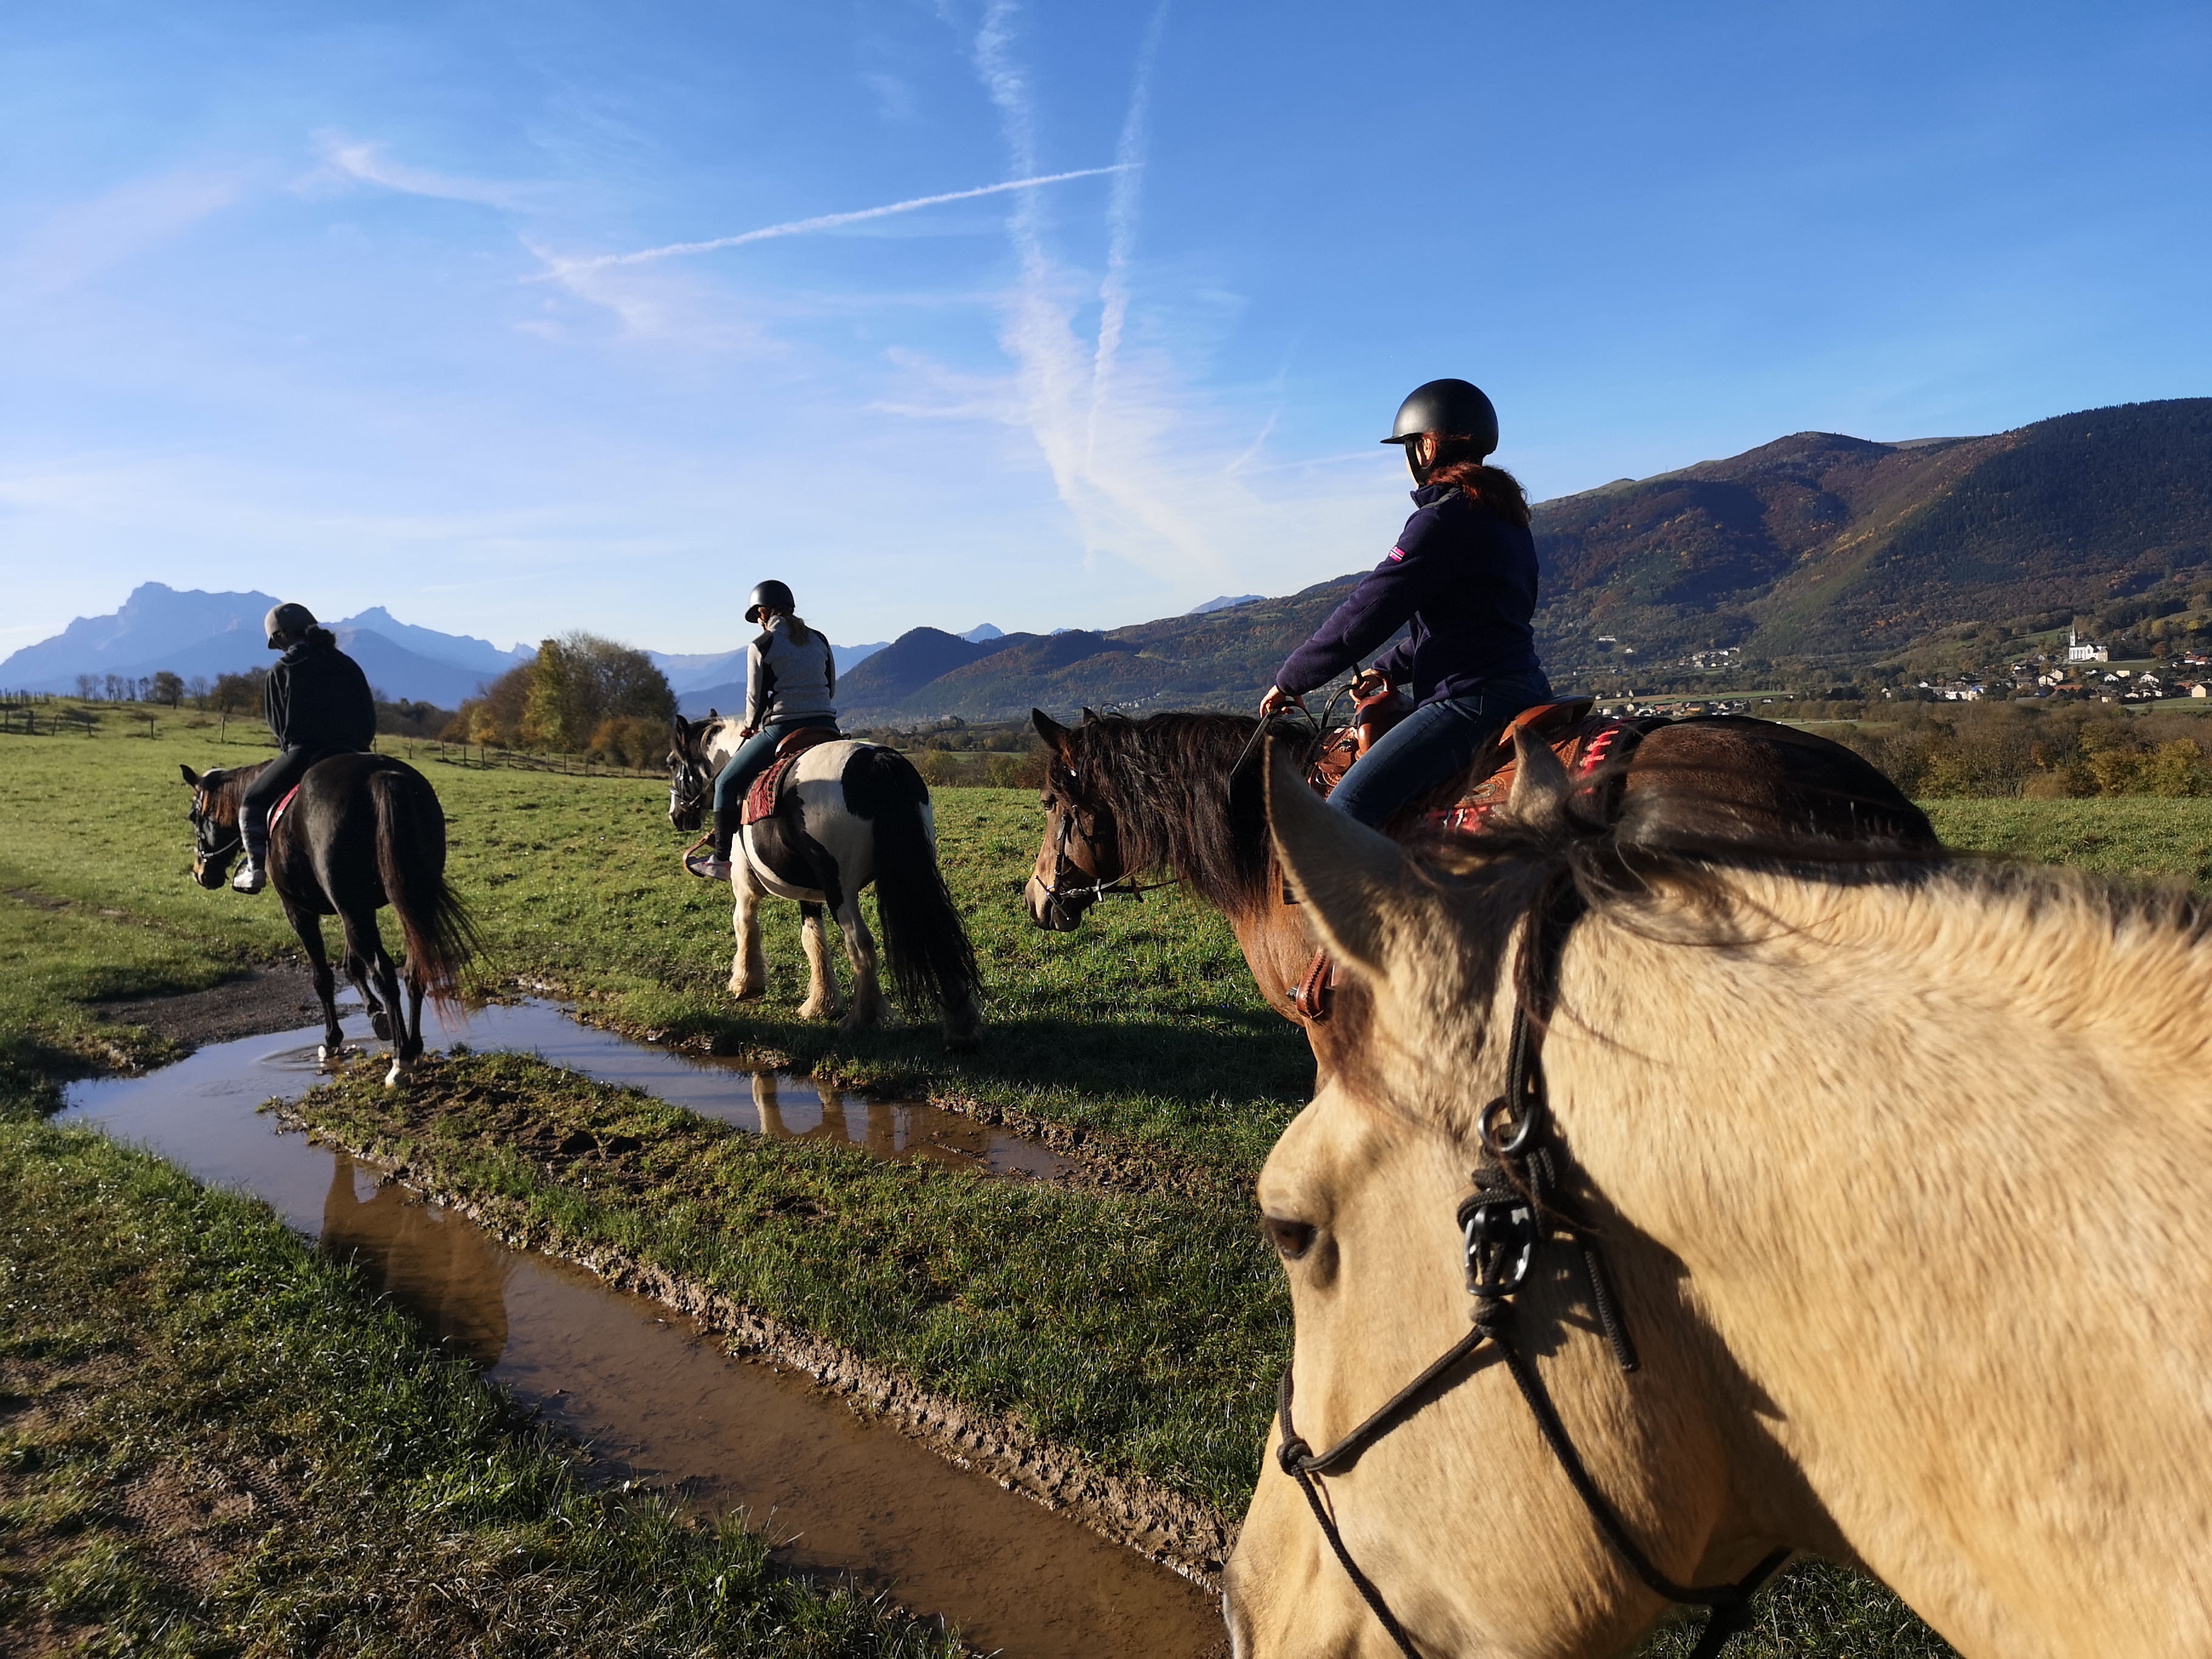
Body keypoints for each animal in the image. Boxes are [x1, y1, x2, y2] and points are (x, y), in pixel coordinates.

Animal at [182, 754, 477, 1086]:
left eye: (193, 816)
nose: (201, 873)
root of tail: (381, 776)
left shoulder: (300, 911)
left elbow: (323, 978)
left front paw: (333, 1039)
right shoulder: (358, 908)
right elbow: (351, 966)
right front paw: (376, 1015)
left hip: (354, 908)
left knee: (385, 973)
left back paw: (401, 1060)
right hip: (407, 903)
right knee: (414, 970)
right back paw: (413, 1049)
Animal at [666, 715, 983, 1051]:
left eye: (673, 763)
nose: (676, 815)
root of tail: (876, 761)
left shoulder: (744, 882)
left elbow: (744, 923)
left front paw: (746, 984)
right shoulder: (808, 891)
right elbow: (813, 938)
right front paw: (822, 1003)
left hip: (840, 887)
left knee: (860, 943)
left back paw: (861, 1020)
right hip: (914, 874)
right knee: (937, 934)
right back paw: (961, 1026)